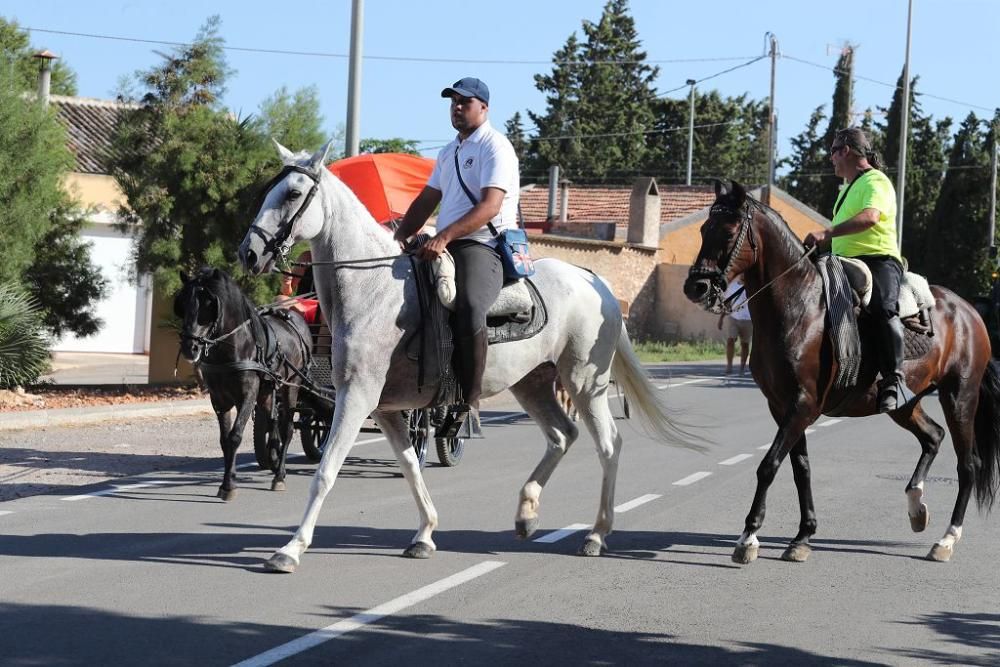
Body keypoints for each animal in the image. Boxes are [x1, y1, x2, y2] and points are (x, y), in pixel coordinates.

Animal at [241, 142, 696, 576]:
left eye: (293, 193)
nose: (248, 253)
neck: (373, 290)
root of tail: (591, 279)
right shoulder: (386, 409)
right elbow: (410, 466)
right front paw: (425, 534)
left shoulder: (356, 399)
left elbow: (326, 472)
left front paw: (290, 550)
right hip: (532, 383)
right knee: (563, 435)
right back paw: (527, 514)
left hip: (584, 383)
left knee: (608, 444)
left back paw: (597, 534)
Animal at [684, 181, 996, 564]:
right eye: (703, 230)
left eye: (728, 232)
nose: (695, 287)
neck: (800, 308)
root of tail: (969, 311)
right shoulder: (781, 406)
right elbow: (800, 467)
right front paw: (803, 536)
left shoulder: (803, 404)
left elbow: (769, 465)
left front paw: (748, 538)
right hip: (905, 404)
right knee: (933, 437)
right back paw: (916, 507)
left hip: (959, 397)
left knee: (968, 465)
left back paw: (946, 539)